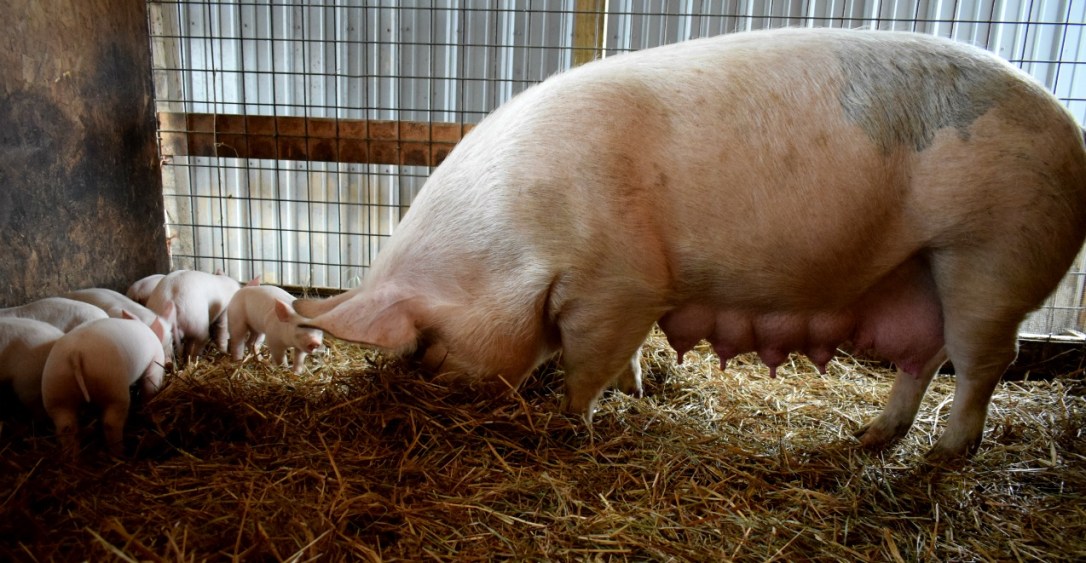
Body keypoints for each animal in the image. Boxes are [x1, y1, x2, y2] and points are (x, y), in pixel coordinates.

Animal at [41, 315, 169, 456]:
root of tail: (76, 353)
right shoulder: (155, 363)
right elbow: (150, 387)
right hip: (112, 385)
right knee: (111, 423)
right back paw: (121, 453)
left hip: (55, 390)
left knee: (65, 427)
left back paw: (73, 456)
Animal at [293, 28, 1086, 463]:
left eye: (425, 347)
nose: (431, 389)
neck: (513, 239)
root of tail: (1073, 139)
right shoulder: (615, 295)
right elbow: (623, 357)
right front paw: (636, 392)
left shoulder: (619, 286)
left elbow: (586, 364)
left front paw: (569, 425)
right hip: (922, 272)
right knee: (925, 356)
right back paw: (869, 437)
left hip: (992, 255)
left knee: (985, 361)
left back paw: (945, 454)